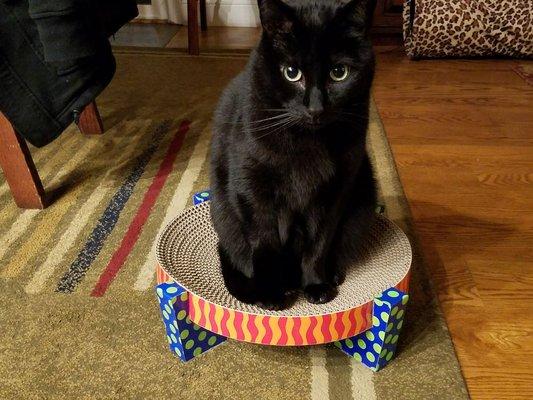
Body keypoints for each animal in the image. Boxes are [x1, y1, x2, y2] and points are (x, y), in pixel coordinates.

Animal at [210, 0, 376, 310]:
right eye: (291, 72)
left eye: (339, 72)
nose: (315, 108)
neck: (307, 141)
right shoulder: (253, 190)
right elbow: (265, 243)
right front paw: (271, 294)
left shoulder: (335, 192)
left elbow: (319, 243)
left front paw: (315, 284)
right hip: (226, 217)